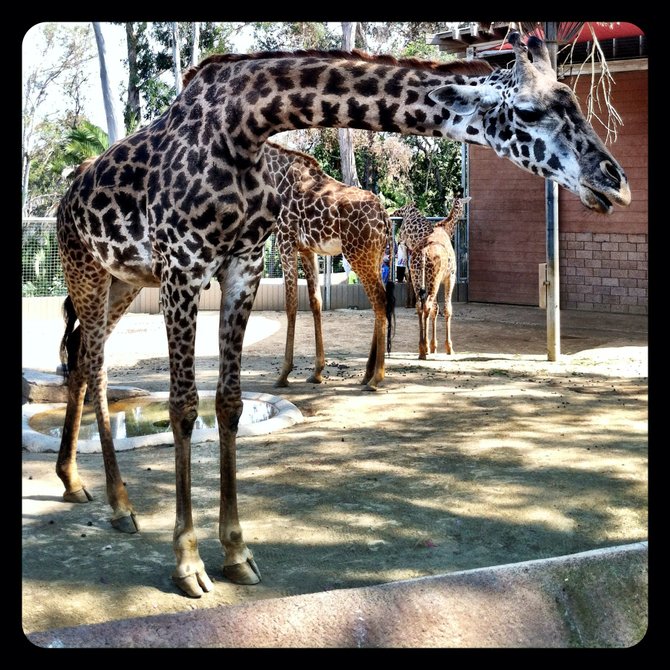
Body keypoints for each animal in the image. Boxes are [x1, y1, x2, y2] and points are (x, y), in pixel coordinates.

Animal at [264, 140, 395, 391]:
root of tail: (385, 218)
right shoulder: (307, 249)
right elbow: (316, 302)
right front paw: (316, 372)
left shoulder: (285, 240)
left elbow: (291, 304)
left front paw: (283, 374)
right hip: (374, 256)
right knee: (381, 300)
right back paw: (367, 374)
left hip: (359, 255)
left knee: (380, 301)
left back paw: (376, 378)